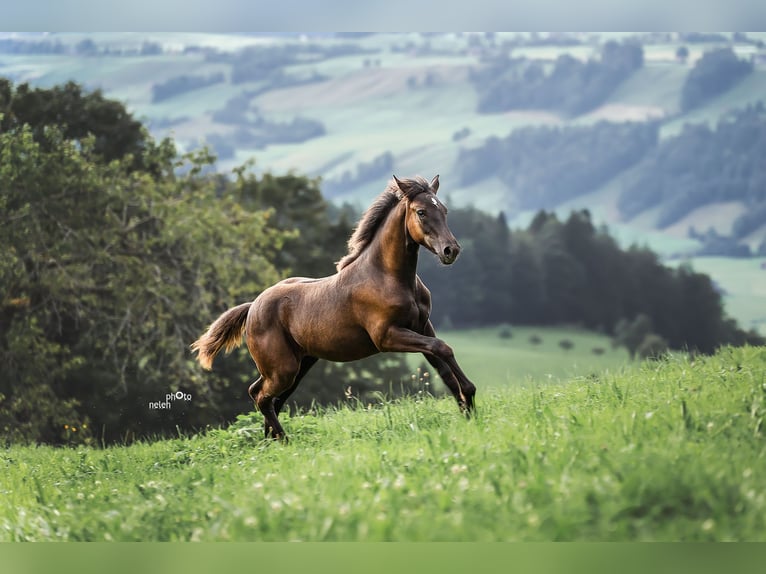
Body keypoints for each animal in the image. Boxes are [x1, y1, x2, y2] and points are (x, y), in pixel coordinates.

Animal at [192, 174, 476, 440]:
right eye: (421, 212)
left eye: (445, 210)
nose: (451, 250)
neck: (387, 277)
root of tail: (253, 307)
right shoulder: (387, 336)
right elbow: (443, 348)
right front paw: (470, 401)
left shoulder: (422, 326)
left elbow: (443, 363)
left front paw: (468, 410)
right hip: (283, 369)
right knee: (261, 396)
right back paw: (284, 442)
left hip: (298, 365)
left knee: (268, 397)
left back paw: (269, 441)